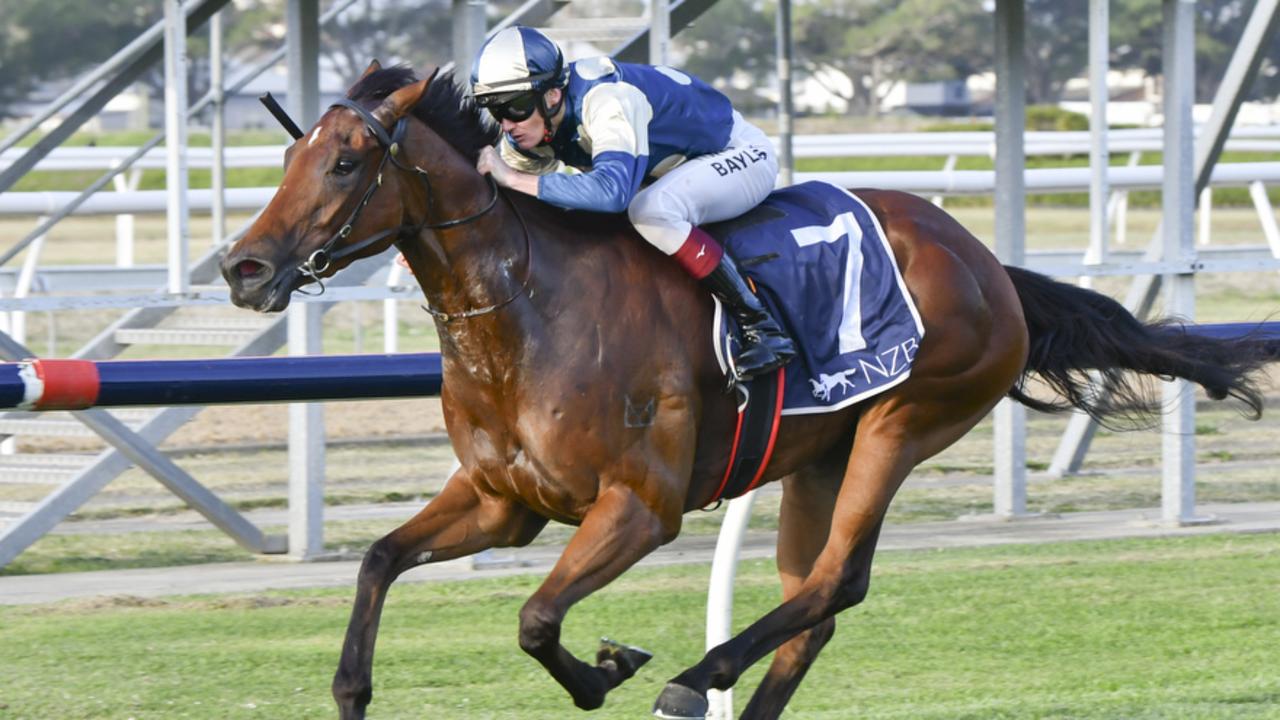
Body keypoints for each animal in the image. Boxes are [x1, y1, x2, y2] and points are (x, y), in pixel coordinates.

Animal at [220, 64, 1269, 712]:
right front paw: (352, 688)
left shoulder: (639, 508)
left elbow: (536, 620)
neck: (526, 305)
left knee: (835, 580)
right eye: (290, 157)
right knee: (817, 602)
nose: (242, 268)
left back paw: (696, 677)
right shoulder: (500, 502)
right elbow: (376, 561)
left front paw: (612, 669)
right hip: (820, 456)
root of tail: (988, 265)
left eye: (345, 162)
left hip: (904, 420)